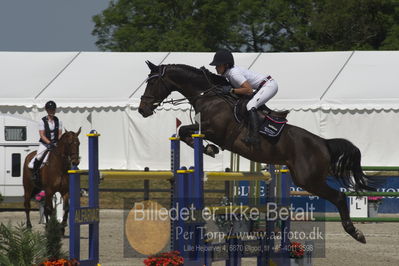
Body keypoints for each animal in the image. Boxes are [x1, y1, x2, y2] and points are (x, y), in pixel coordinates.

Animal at [138, 61, 378, 244]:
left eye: (152, 82)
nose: (143, 110)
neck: (208, 96)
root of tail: (323, 142)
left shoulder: (214, 130)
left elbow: (185, 130)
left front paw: (208, 148)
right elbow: (183, 131)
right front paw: (208, 148)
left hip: (309, 180)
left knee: (338, 197)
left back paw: (356, 233)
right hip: (302, 177)